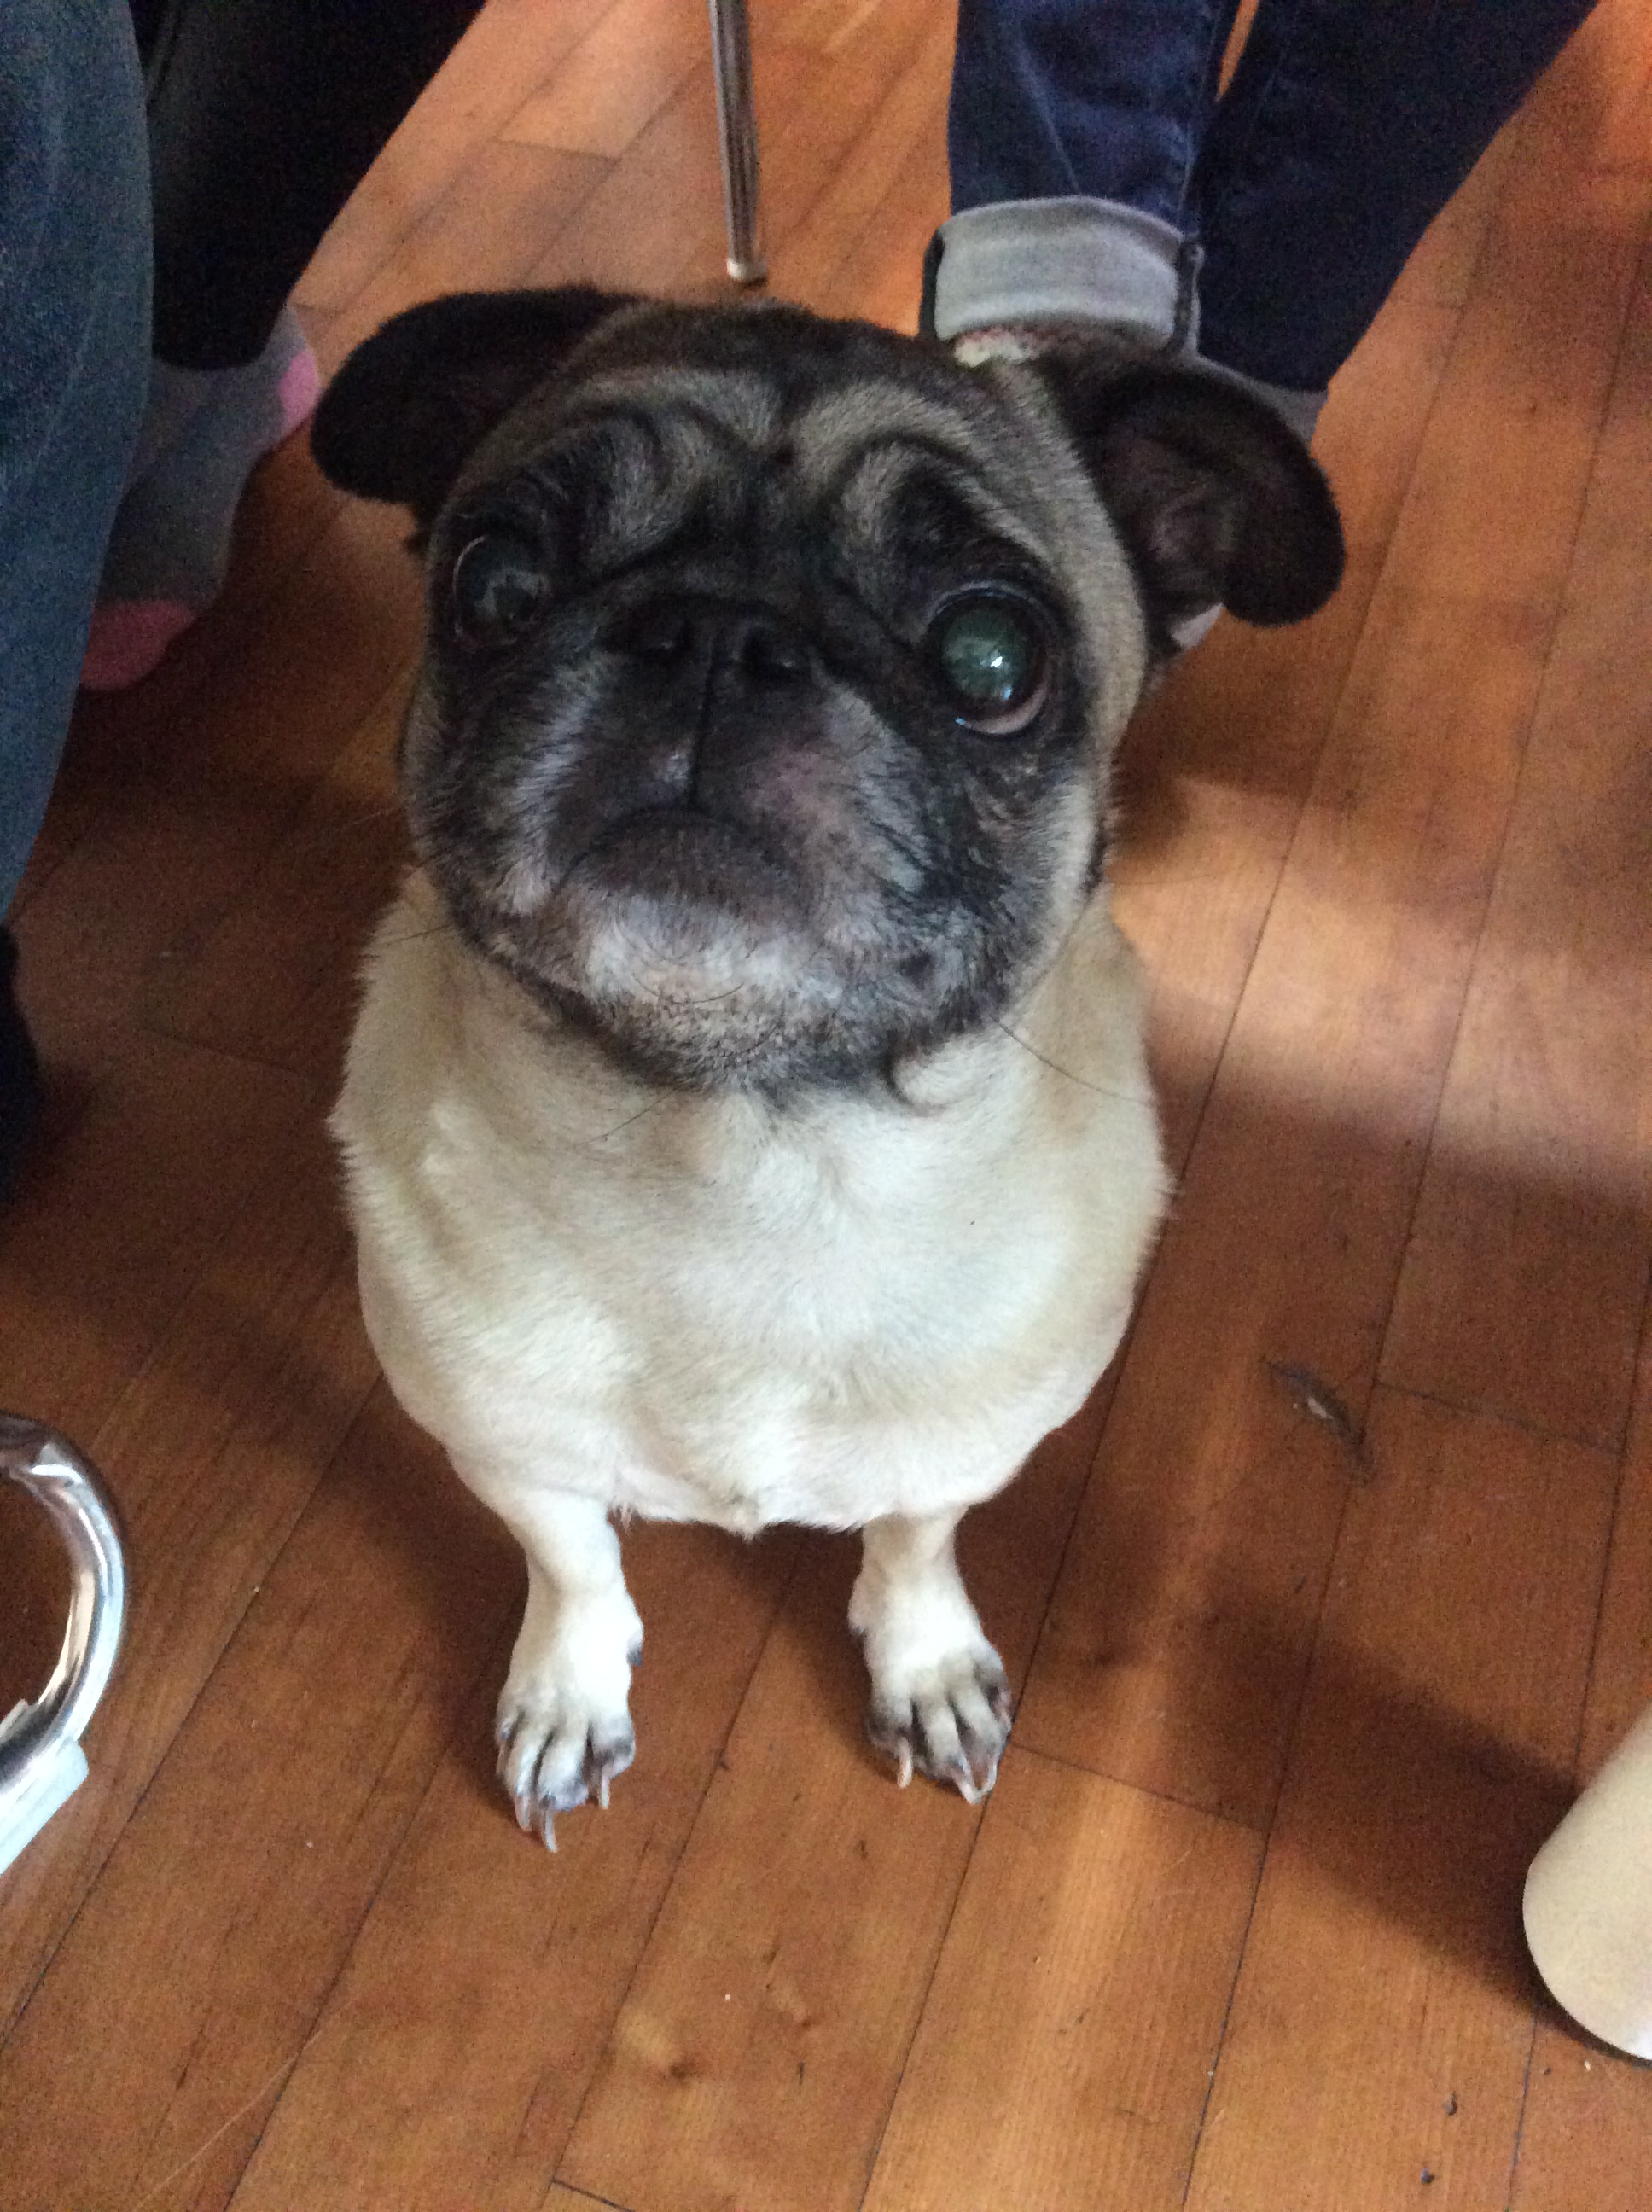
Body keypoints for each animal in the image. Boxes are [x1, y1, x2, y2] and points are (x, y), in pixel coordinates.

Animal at [311, 288, 1342, 1845]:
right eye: (495, 585)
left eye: (995, 661)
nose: (719, 636)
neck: (737, 1153)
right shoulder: (503, 1442)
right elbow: (569, 1561)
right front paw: (570, 1688)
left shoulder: (963, 1448)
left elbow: (915, 1543)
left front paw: (924, 1664)